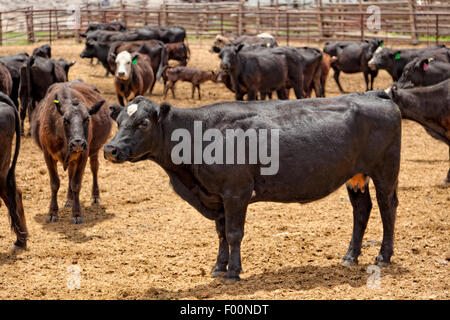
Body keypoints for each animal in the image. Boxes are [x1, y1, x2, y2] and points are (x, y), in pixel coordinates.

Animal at [31, 80, 112, 224]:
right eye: (65, 120)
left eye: (87, 119)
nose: (78, 143)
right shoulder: (47, 155)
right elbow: (55, 183)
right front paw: (52, 213)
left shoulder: (83, 155)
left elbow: (76, 183)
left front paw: (76, 214)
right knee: (70, 173)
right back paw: (69, 199)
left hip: (94, 150)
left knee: (94, 168)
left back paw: (95, 196)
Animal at [104, 91, 400, 282]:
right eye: (118, 122)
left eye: (143, 123)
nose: (110, 149)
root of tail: (375, 95)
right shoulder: (217, 196)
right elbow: (221, 234)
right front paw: (219, 267)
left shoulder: (237, 192)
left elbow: (234, 233)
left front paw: (233, 272)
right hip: (356, 176)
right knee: (361, 210)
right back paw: (350, 256)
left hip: (385, 173)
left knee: (387, 208)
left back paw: (383, 256)